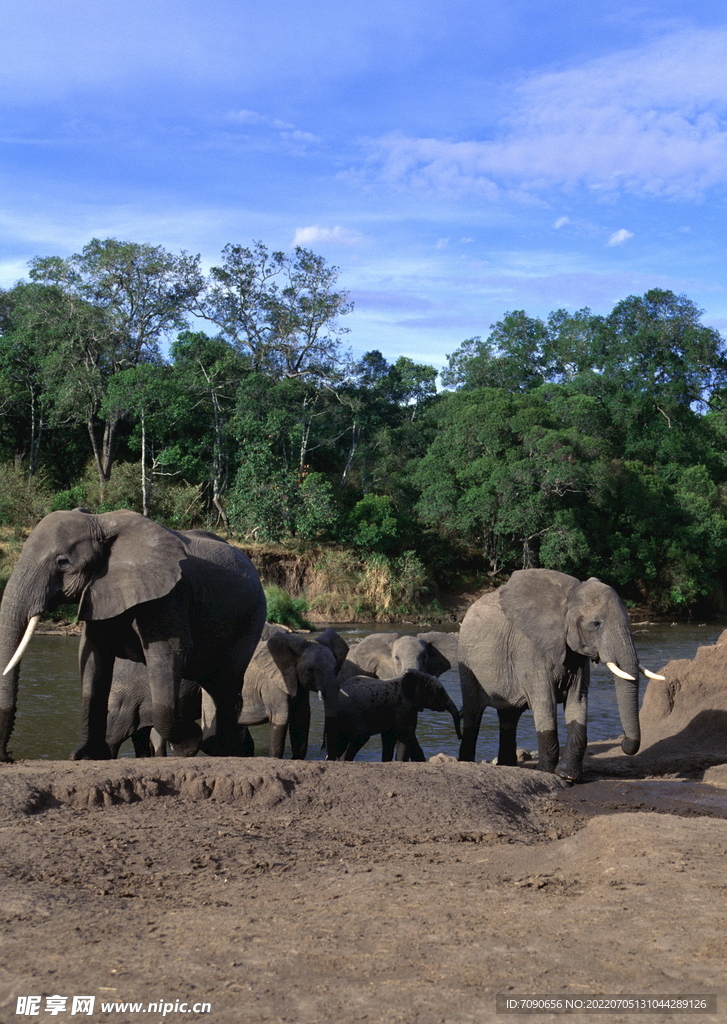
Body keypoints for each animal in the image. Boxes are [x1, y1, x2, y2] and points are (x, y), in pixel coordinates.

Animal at [0, 509, 268, 761]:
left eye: (62, 562)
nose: (8, 756)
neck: (101, 521)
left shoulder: (168, 597)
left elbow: (168, 654)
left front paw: (188, 743)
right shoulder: (100, 590)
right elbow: (94, 659)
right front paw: (87, 755)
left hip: (253, 614)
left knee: (226, 681)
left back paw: (222, 748)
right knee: (215, 684)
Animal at [460, 569, 667, 782]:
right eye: (596, 623)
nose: (625, 743)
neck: (569, 594)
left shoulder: (577, 657)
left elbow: (578, 700)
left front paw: (569, 776)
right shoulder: (529, 650)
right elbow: (545, 701)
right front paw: (545, 772)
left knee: (509, 716)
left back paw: (507, 766)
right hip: (467, 662)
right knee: (473, 712)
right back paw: (467, 761)